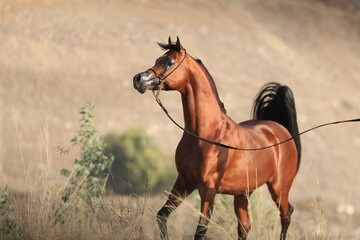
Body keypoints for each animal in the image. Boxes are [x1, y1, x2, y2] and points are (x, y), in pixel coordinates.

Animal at [132, 36, 300, 239]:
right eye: (158, 59)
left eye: (169, 62)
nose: (138, 79)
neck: (206, 135)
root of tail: (280, 130)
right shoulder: (184, 182)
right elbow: (162, 215)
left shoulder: (208, 190)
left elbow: (200, 232)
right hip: (243, 193)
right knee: (245, 226)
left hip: (279, 188)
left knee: (286, 215)